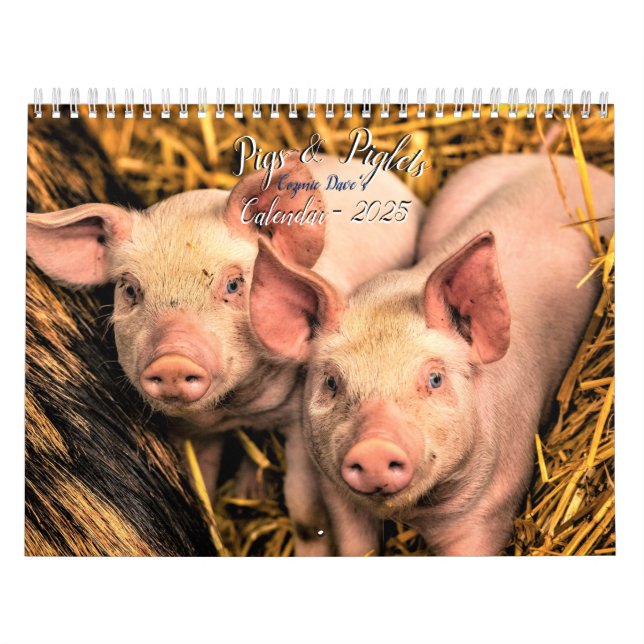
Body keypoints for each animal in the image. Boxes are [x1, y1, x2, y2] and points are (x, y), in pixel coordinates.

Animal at [26, 153, 424, 555]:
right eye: (130, 289)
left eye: (234, 284)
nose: (172, 360)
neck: (236, 409)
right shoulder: (190, 433)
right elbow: (201, 489)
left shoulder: (302, 420)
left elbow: (304, 510)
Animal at [248, 153, 614, 555]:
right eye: (331, 381)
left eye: (435, 378)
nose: (374, 447)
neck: (414, 514)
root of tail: (546, 157)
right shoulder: (337, 496)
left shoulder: (492, 504)